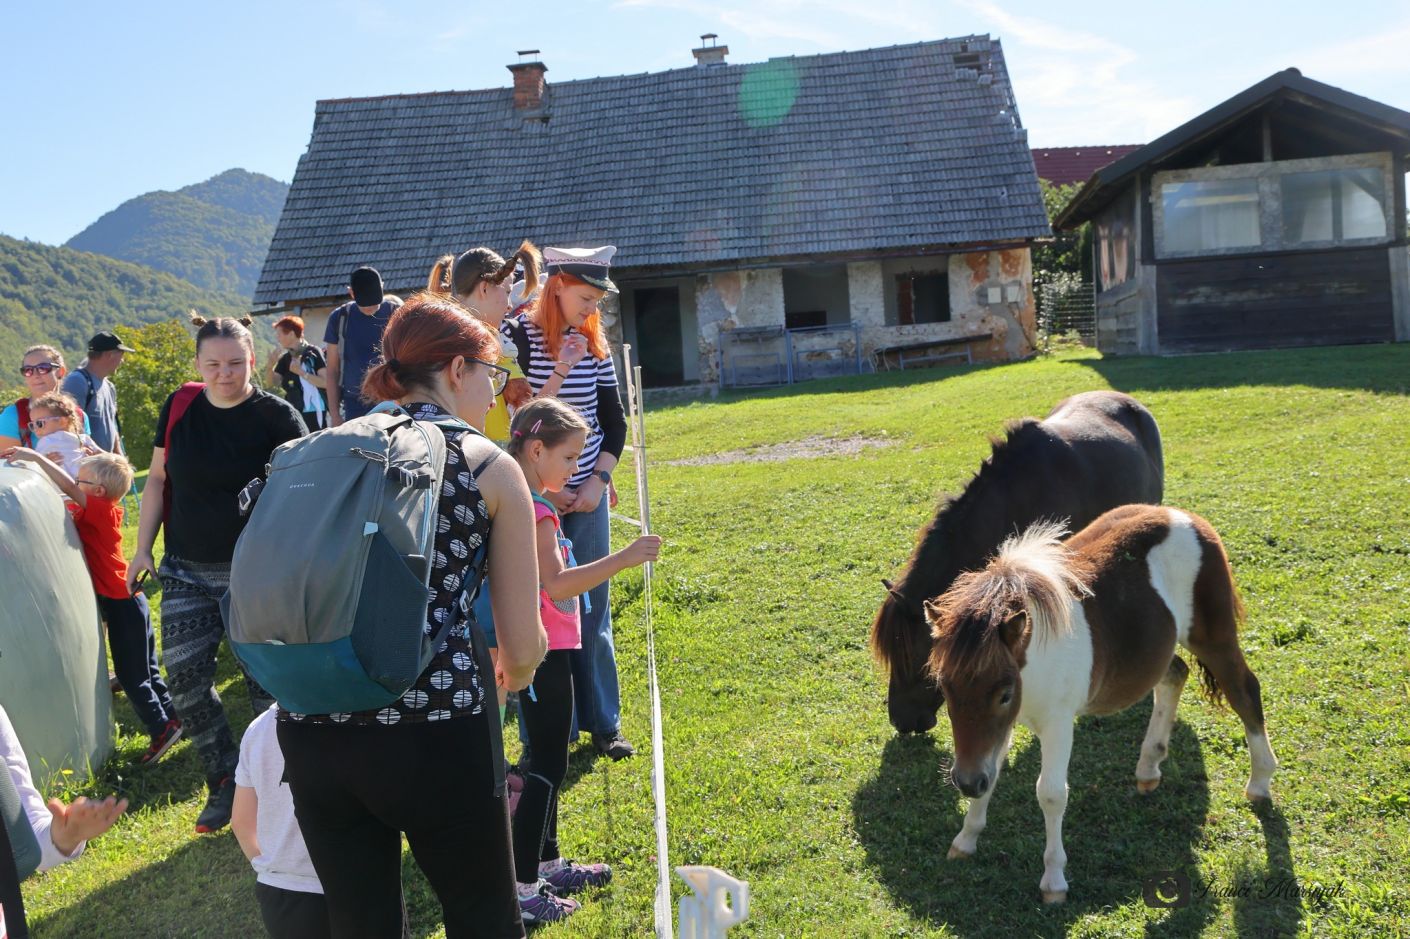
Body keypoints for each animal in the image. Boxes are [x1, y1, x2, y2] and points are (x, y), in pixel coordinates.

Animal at [924, 505, 1278, 904]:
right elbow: (994, 772)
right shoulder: (1002, 728)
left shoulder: (1057, 723)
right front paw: (966, 839)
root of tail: (1186, 517)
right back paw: (1149, 766)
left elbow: (1051, 793)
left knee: (1244, 691)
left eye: (1004, 694)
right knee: (1174, 674)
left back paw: (1260, 781)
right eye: (945, 690)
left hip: (1213, 636)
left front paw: (1054, 880)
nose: (967, 783)